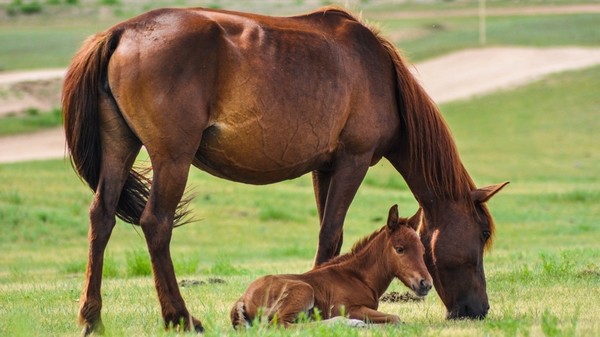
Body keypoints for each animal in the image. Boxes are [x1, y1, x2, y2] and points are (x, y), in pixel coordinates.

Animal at [230, 203, 432, 326]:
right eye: (400, 249)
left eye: (422, 249)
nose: (426, 284)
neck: (358, 277)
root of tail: (243, 298)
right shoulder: (348, 308)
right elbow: (395, 318)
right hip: (303, 291)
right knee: (282, 326)